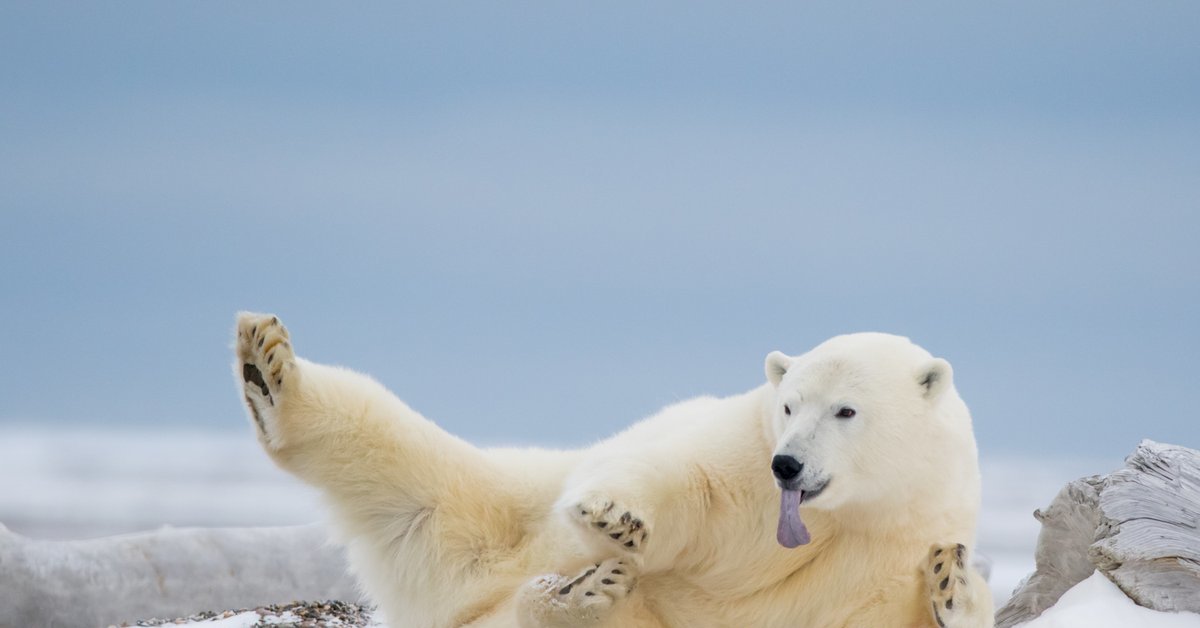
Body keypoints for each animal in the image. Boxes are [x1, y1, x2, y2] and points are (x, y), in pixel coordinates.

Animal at [234, 314, 993, 628]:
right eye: (787, 404)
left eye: (845, 410)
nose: (788, 465)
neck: (847, 518)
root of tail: (459, 605)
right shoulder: (742, 452)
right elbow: (696, 485)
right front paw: (614, 517)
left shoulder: (890, 547)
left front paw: (954, 582)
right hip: (503, 506)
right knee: (410, 469)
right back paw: (268, 369)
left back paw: (579, 595)